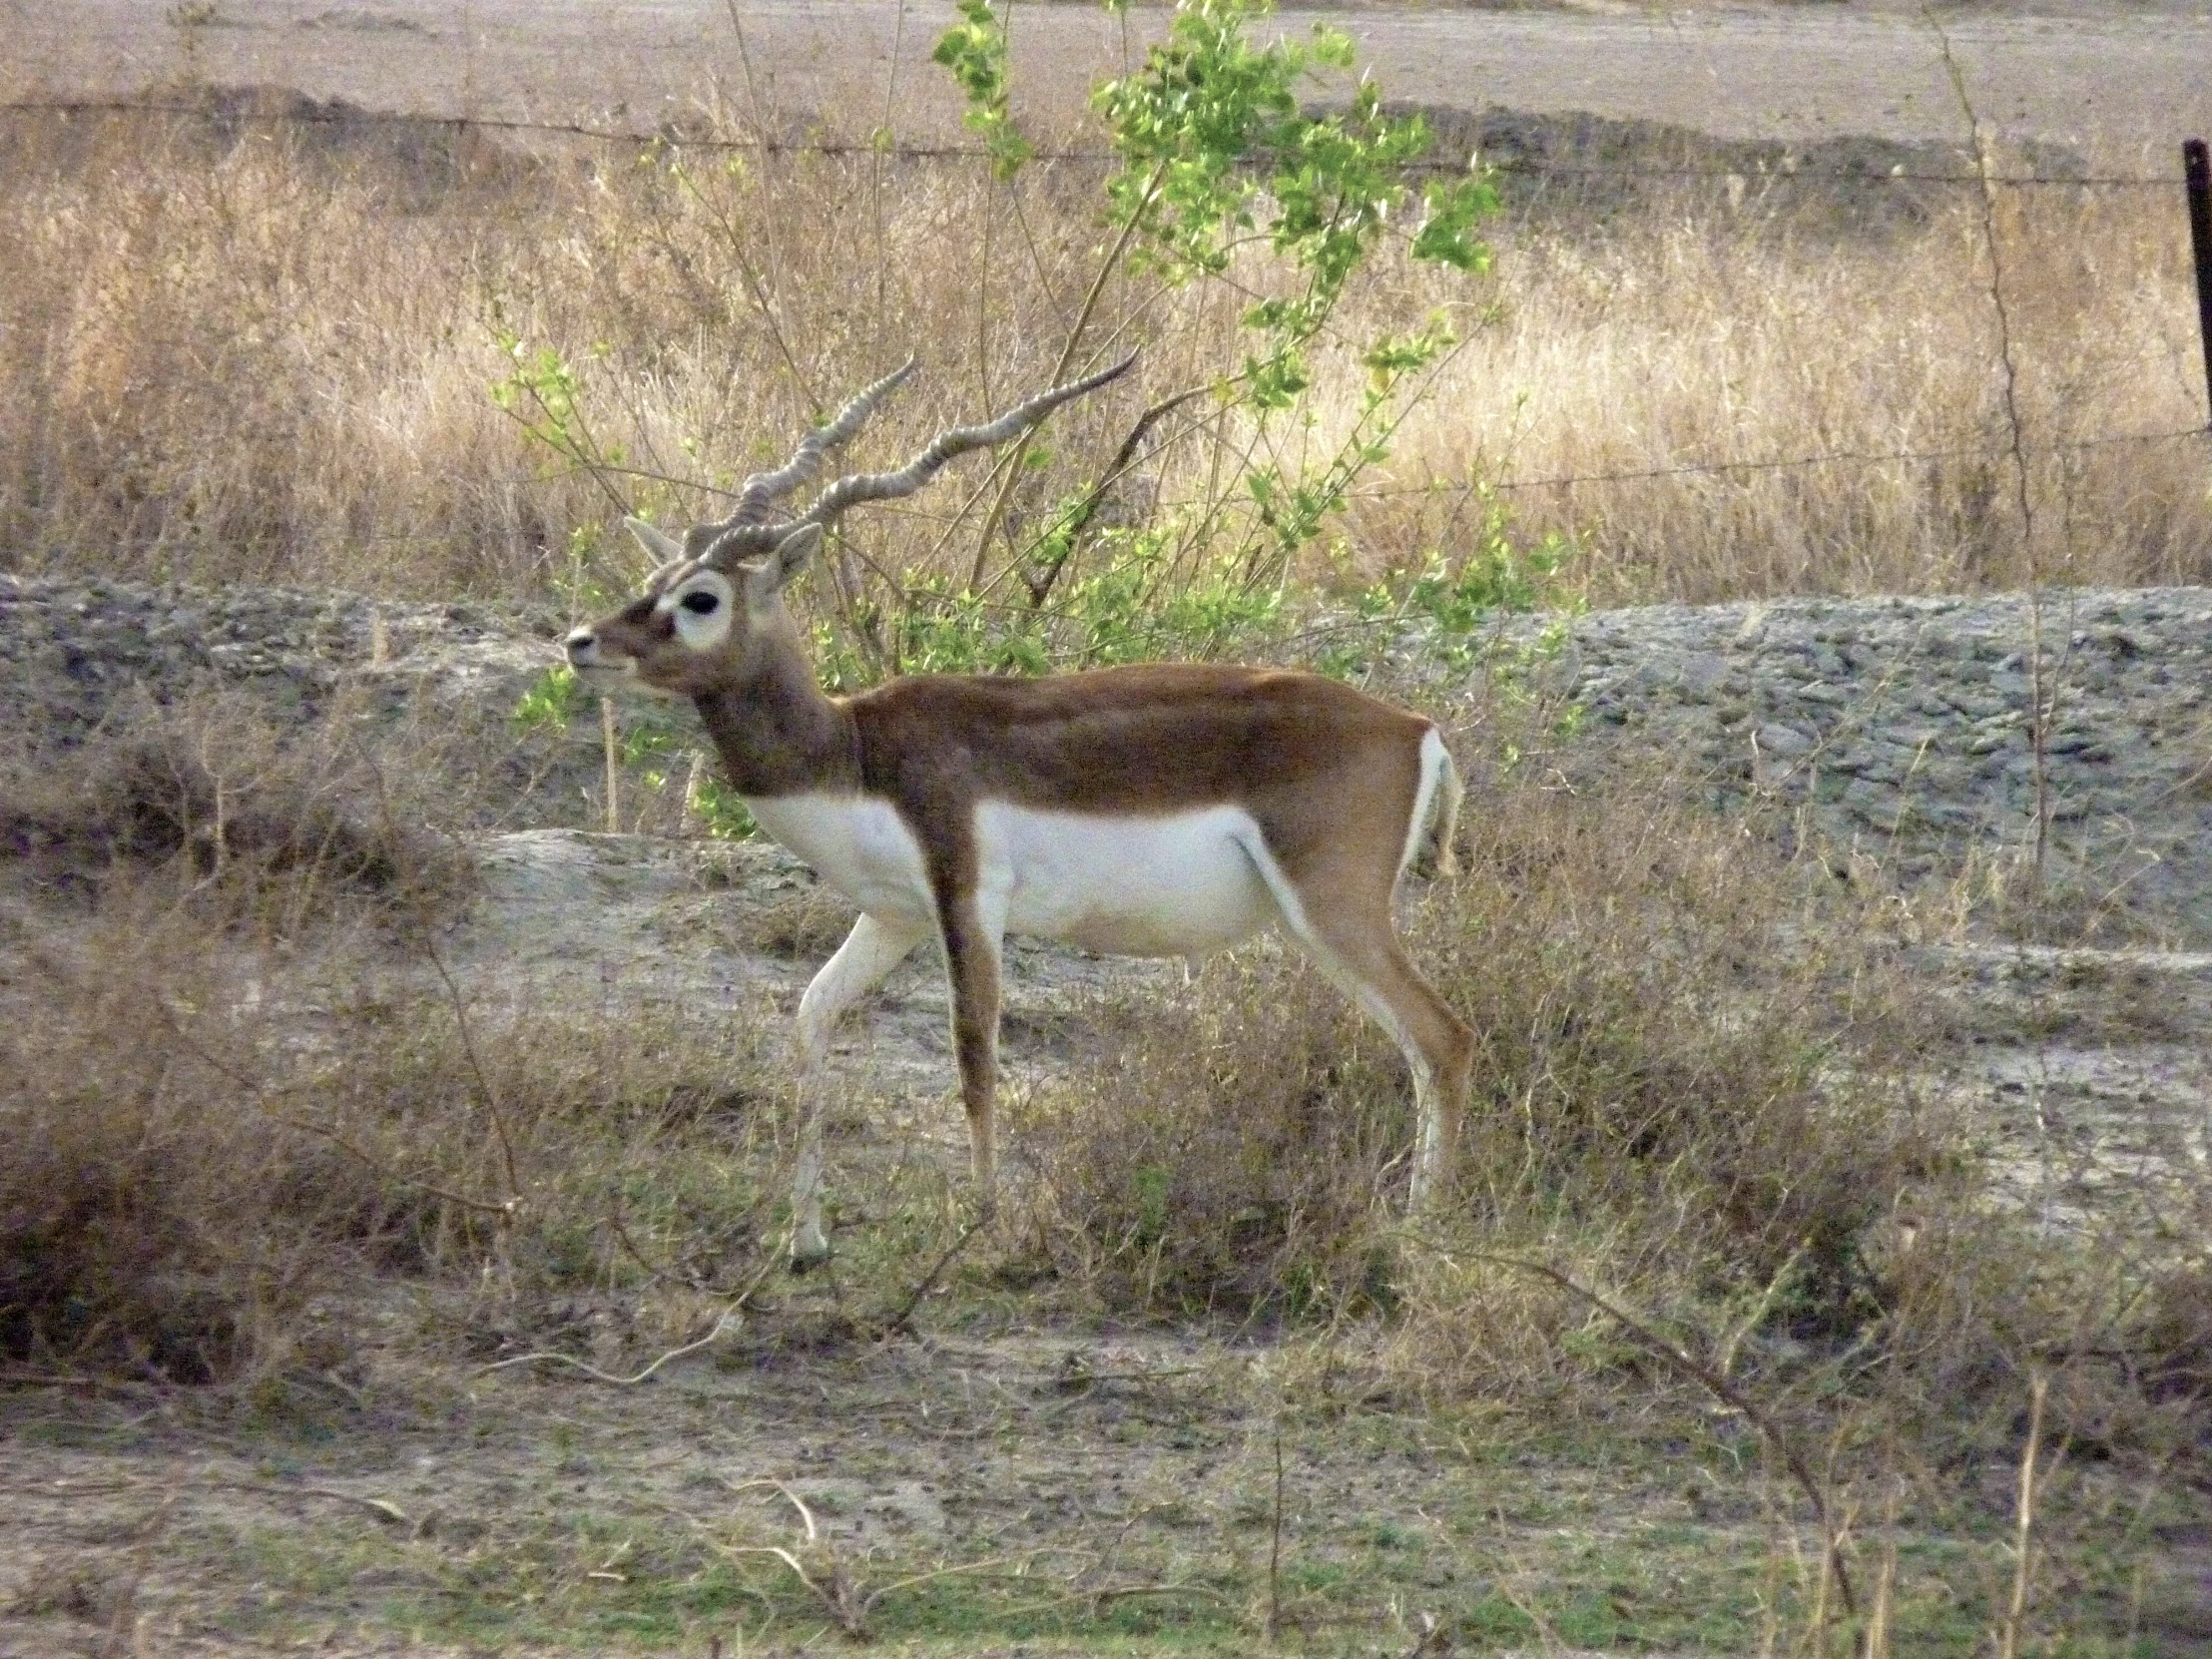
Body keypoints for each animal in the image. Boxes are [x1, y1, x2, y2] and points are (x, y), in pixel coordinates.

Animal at [570, 357, 1468, 1265]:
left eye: (701, 600)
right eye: (650, 585)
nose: (582, 641)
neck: (853, 750)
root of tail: (1414, 728)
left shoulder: (968, 898)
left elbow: (974, 1056)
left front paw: (985, 1225)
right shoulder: (893, 915)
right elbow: (812, 1016)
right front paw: (806, 1238)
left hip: (1334, 910)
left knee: (1442, 1038)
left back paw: (1418, 1231)